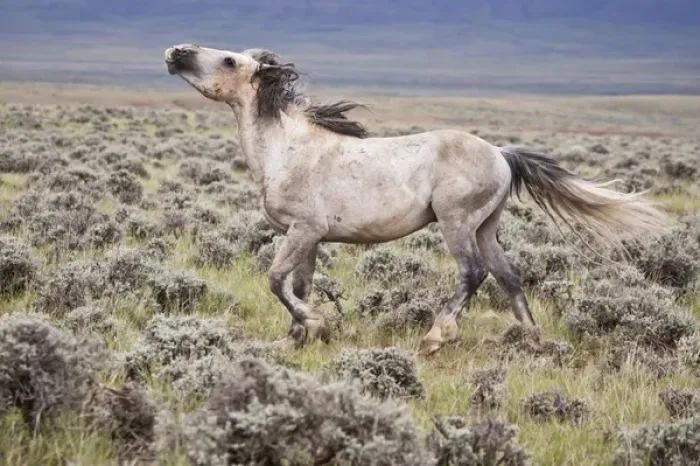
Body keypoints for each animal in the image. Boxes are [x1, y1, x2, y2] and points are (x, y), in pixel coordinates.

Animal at [164, 44, 670, 354]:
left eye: (229, 61)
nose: (176, 52)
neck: (287, 149)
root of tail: (502, 155)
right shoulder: (305, 236)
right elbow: (298, 285)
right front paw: (296, 339)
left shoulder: (303, 230)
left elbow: (275, 280)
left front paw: (320, 325)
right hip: (486, 226)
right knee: (508, 275)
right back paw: (531, 340)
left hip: (456, 221)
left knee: (473, 273)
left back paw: (436, 337)